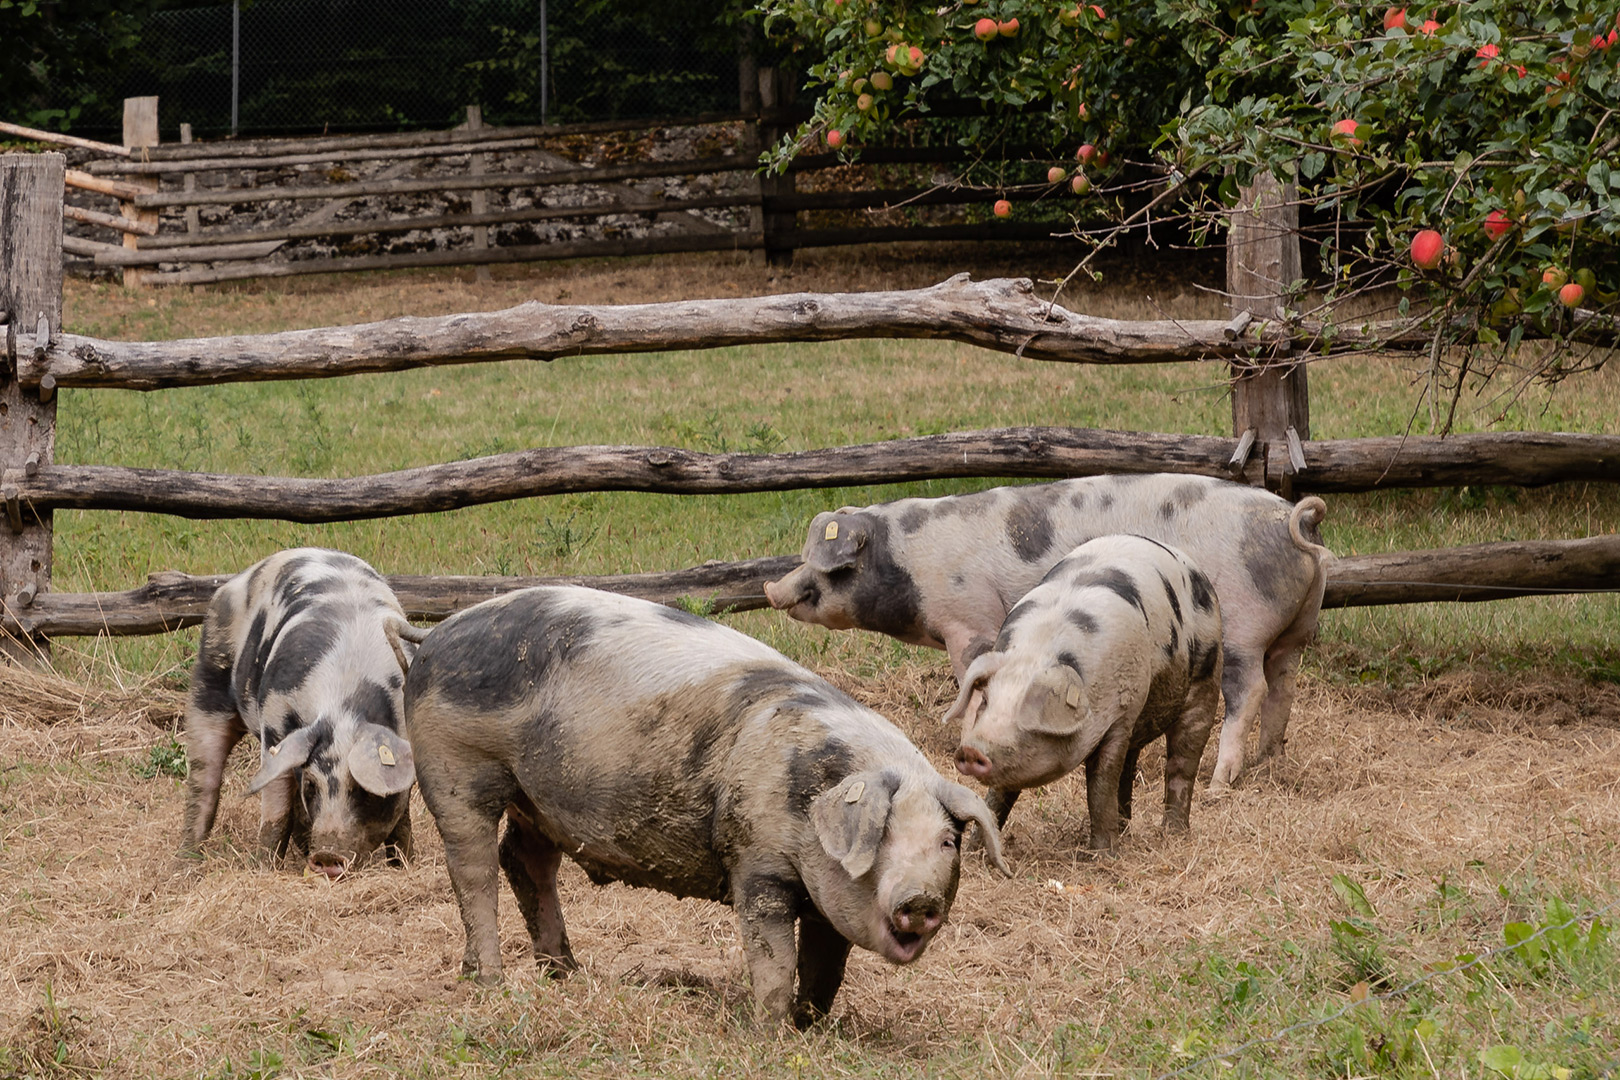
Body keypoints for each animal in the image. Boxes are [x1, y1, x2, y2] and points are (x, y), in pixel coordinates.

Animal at [180, 550, 427, 880]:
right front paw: (266, 868)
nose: (326, 856)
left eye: (362, 790)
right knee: (203, 780)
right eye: (311, 784)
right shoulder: (274, 728)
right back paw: (185, 863)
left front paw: (403, 865)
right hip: (209, 676)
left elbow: (402, 823)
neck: (344, 705)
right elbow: (276, 815)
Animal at [403, 586, 1004, 1029]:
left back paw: (565, 973)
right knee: (474, 867)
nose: (920, 899)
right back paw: (490, 981)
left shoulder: (826, 902)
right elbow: (772, 954)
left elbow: (827, 967)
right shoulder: (756, 861)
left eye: (946, 843)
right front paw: (770, 1032)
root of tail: (436, 632)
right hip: (455, 765)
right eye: (881, 837)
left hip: (539, 798)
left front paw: (810, 1027)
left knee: (525, 860)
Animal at [764, 476, 1334, 790]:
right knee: (1283, 685)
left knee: (1249, 690)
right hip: (1298, 628)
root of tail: (1292, 521)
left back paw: (1221, 782)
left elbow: (970, 676)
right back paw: (1268, 760)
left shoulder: (967, 620)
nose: (773, 589)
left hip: (1242, 624)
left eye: (828, 565)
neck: (908, 564)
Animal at [946, 537, 1218, 848]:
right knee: (1129, 766)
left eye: (1027, 714)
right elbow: (1000, 793)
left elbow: (1101, 781)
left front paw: (1104, 853)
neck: (1037, 651)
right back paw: (1125, 829)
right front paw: (976, 850)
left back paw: (1173, 833)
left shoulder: (1120, 715)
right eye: (986, 701)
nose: (971, 750)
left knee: (1182, 761)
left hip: (1207, 677)